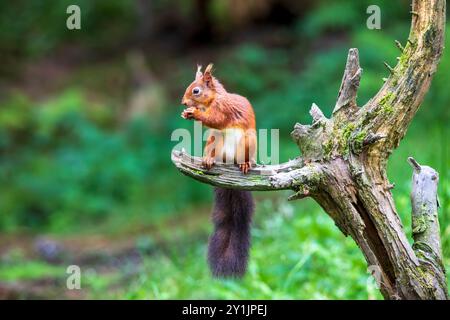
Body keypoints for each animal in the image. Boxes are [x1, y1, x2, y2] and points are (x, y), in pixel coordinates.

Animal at [180, 63, 256, 278]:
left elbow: (216, 119)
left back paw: (246, 163)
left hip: (248, 141)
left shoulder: (224, 110)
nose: (183, 102)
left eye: (196, 90)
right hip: (215, 140)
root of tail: (228, 161)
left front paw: (194, 113)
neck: (214, 98)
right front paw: (188, 113)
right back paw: (208, 159)